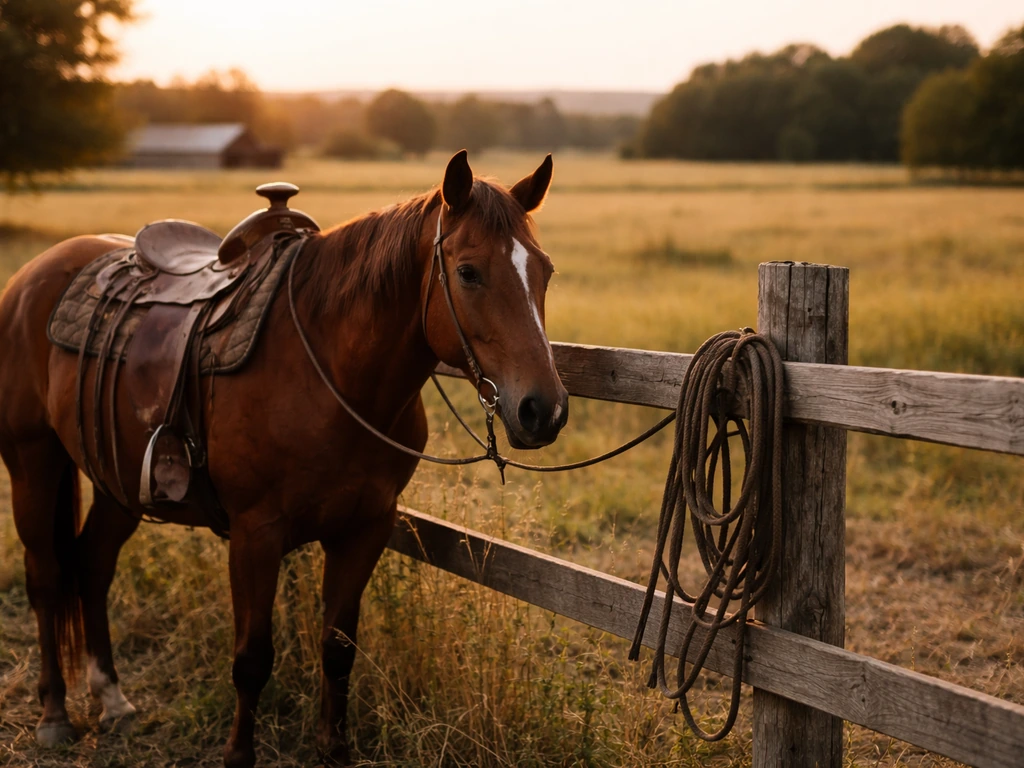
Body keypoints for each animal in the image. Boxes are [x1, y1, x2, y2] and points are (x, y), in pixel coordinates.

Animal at [0, 150, 568, 767]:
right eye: (468, 272)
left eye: (545, 271)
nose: (544, 410)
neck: (330, 371)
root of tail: (30, 277)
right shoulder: (256, 534)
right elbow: (252, 658)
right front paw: (238, 755)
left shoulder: (365, 527)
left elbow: (338, 648)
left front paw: (333, 748)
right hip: (32, 462)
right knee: (46, 576)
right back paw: (54, 715)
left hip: (118, 482)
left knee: (93, 564)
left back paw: (113, 699)